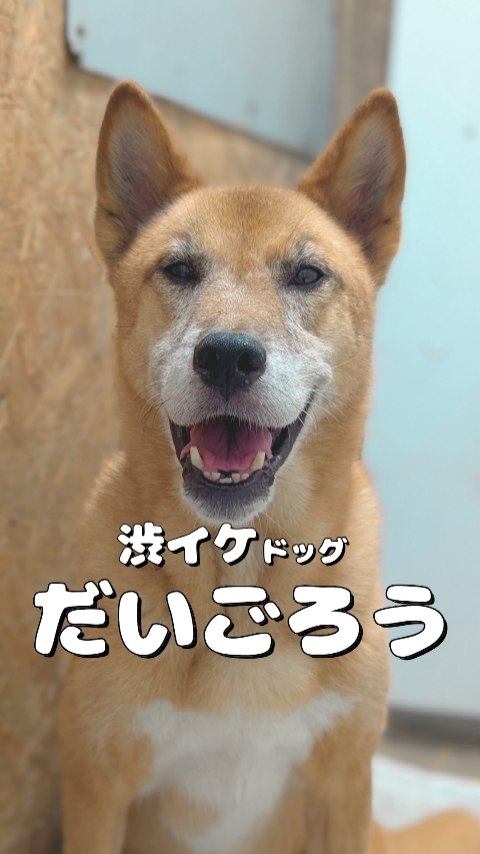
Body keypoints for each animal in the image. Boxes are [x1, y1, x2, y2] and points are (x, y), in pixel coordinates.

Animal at [59, 82, 480, 854]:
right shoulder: (97, 788)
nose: (227, 356)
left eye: (307, 274)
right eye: (180, 269)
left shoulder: (345, 790)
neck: (240, 581)